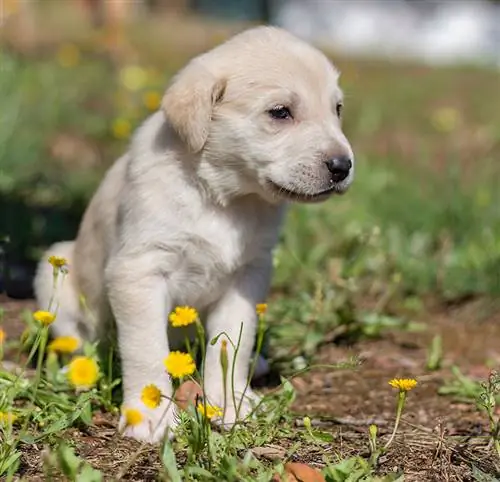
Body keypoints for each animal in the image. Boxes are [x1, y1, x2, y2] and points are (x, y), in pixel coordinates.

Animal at [33, 24, 354, 442]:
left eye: (337, 109)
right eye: (280, 112)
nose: (343, 166)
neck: (224, 198)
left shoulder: (248, 276)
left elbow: (231, 346)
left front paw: (230, 403)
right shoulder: (139, 271)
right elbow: (146, 348)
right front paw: (149, 414)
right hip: (52, 269)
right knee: (79, 338)